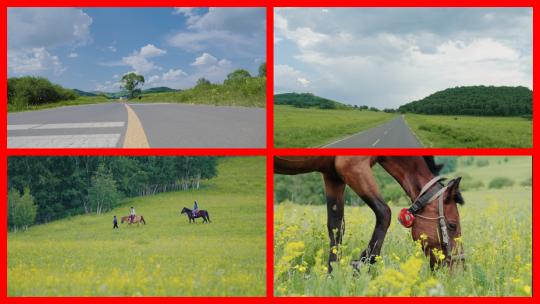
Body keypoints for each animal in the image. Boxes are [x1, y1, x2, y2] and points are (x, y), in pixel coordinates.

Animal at [274, 157, 464, 270]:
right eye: (452, 225)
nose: (459, 267)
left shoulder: (333, 175)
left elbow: (336, 226)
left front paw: (332, 273)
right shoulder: (352, 166)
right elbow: (384, 213)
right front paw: (361, 265)